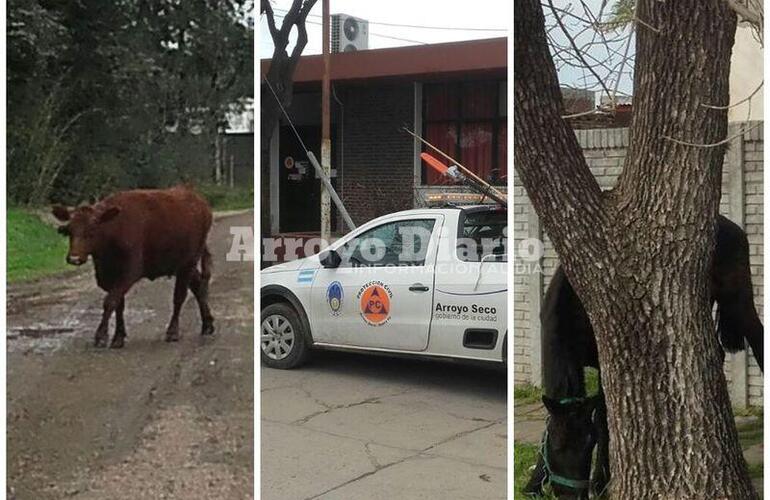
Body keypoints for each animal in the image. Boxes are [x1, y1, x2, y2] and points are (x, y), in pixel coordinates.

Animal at [51, 187, 214, 348]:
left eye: (92, 230)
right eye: (69, 230)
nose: (74, 258)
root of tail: (199, 200)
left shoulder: (129, 272)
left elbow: (110, 301)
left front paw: (101, 336)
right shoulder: (108, 276)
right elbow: (119, 304)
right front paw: (118, 336)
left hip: (188, 263)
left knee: (179, 297)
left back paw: (173, 331)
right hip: (182, 264)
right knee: (198, 286)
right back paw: (207, 324)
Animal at [520, 214, 760, 496]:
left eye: (589, 443)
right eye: (556, 446)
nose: (572, 495)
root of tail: (732, 226)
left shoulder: (607, 362)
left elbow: (604, 421)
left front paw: (601, 481)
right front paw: (534, 482)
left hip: (738, 297)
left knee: (757, 335)